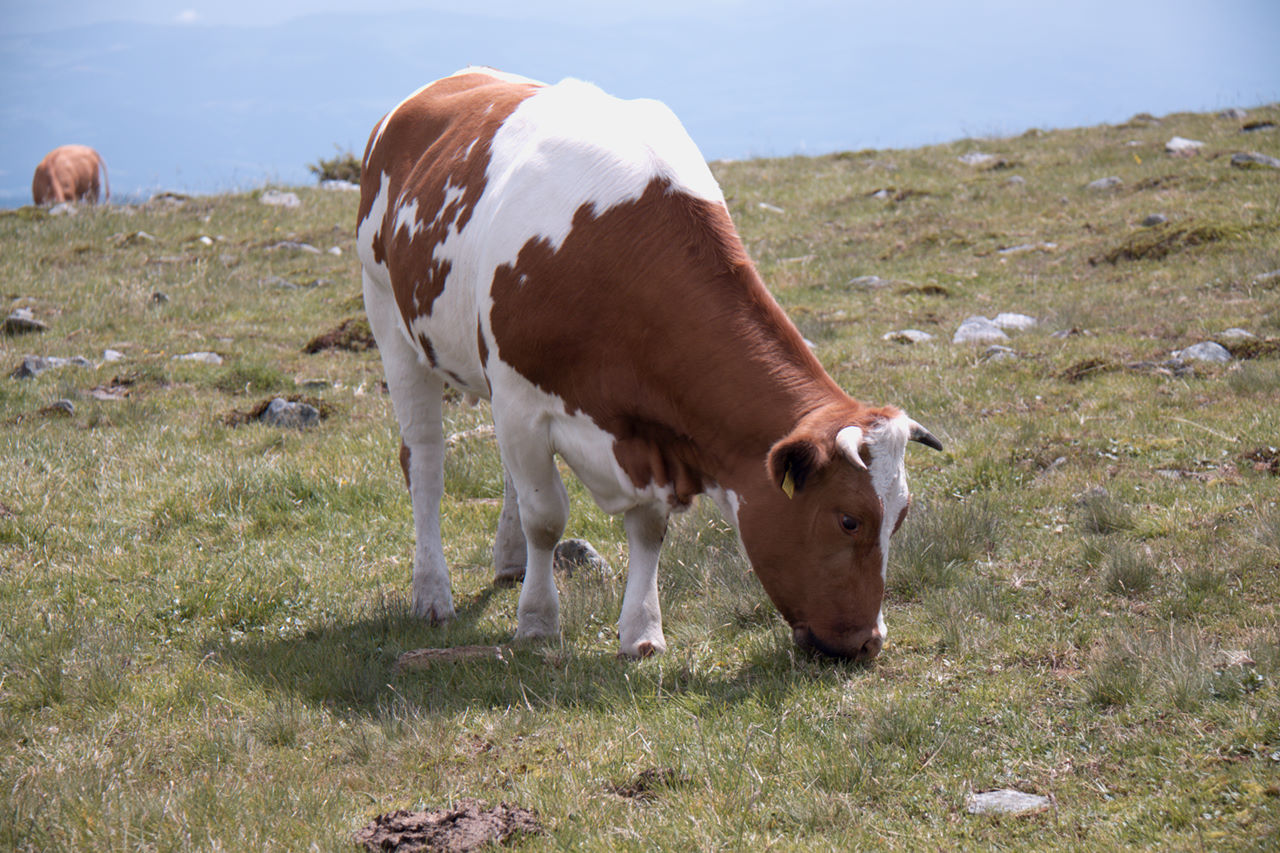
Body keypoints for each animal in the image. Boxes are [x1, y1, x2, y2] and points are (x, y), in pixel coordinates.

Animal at [356, 68, 942, 661]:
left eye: (901, 517)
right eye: (848, 520)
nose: (868, 642)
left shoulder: (647, 432)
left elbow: (647, 529)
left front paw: (642, 630)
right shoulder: (524, 402)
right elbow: (546, 518)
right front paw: (538, 621)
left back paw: (509, 561)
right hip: (388, 319)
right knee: (425, 463)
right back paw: (432, 593)